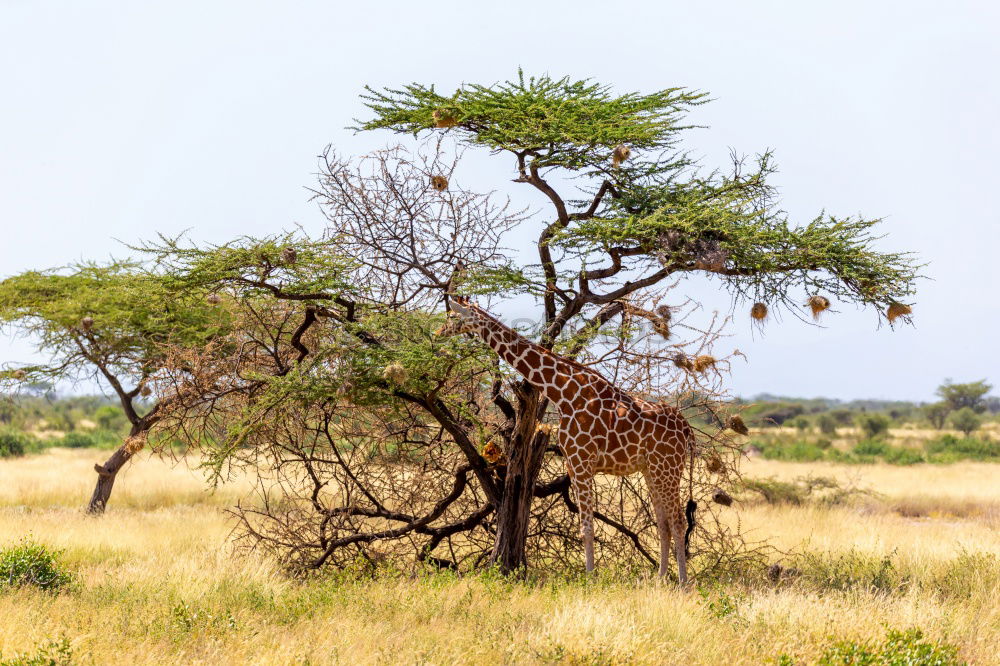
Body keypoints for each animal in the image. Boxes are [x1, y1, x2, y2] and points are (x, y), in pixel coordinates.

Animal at [438, 296, 696, 580]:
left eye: (453, 316)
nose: (438, 332)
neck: (562, 393)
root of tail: (687, 428)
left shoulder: (582, 462)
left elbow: (587, 527)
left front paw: (590, 578)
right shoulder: (572, 464)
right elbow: (586, 524)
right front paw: (591, 575)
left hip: (668, 467)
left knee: (678, 521)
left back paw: (683, 582)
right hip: (651, 469)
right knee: (663, 522)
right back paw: (660, 579)